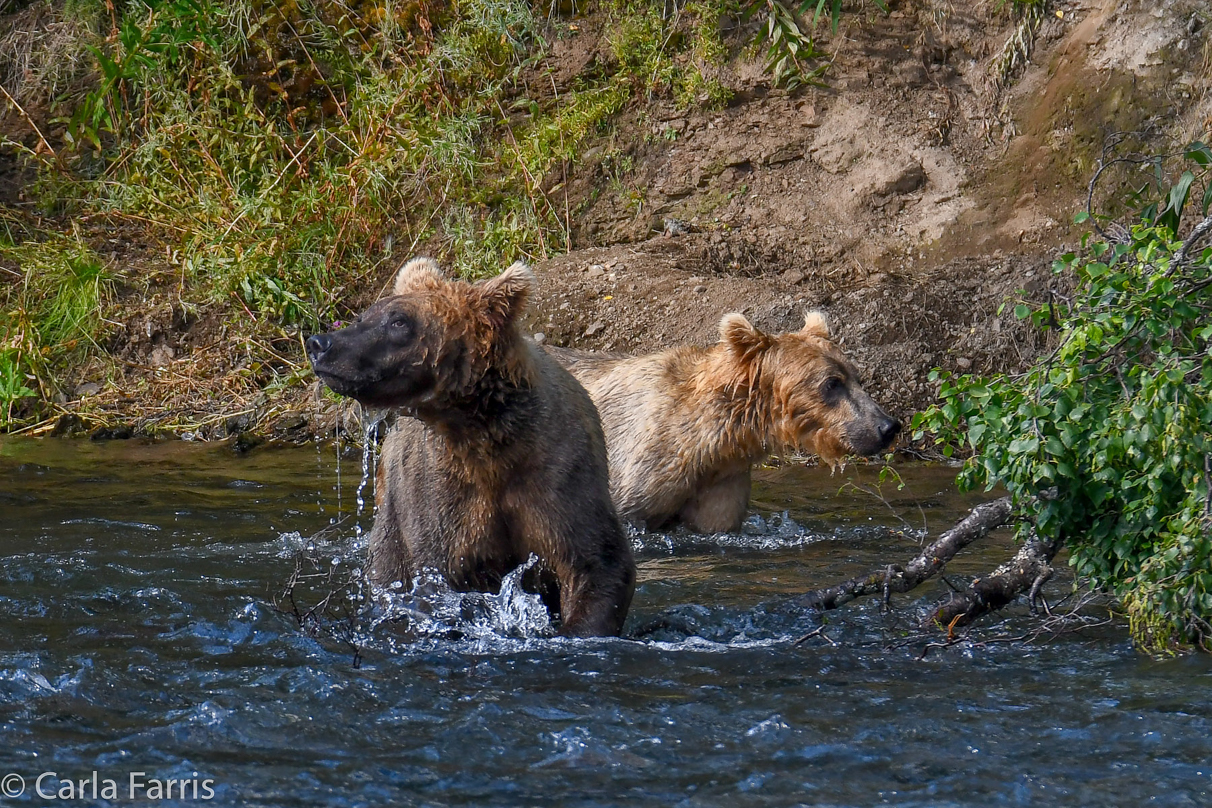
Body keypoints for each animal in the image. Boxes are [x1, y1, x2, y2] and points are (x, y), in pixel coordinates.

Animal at [305, 259, 635, 639]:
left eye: (398, 321)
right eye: (365, 315)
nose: (319, 343)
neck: (482, 438)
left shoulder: (557, 477)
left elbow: (595, 563)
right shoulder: (442, 494)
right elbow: (439, 580)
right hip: (393, 513)